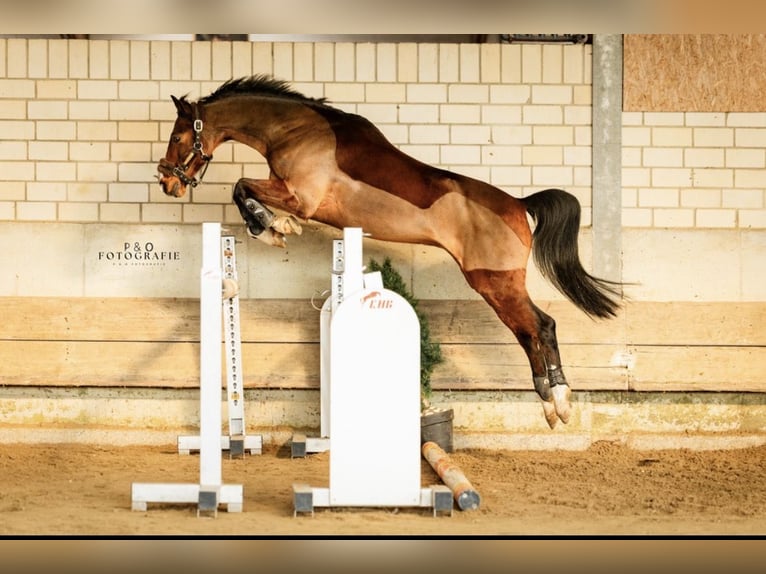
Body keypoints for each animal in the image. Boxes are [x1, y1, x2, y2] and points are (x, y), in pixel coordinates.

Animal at [157, 74, 622, 429]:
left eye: (178, 136)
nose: (167, 182)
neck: (297, 131)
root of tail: (520, 204)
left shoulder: (300, 198)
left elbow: (242, 187)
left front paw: (272, 227)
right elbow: (245, 188)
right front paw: (272, 227)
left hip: (494, 283)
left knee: (536, 328)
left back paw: (554, 401)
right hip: (501, 284)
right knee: (539, 328)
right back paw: (557, 403)